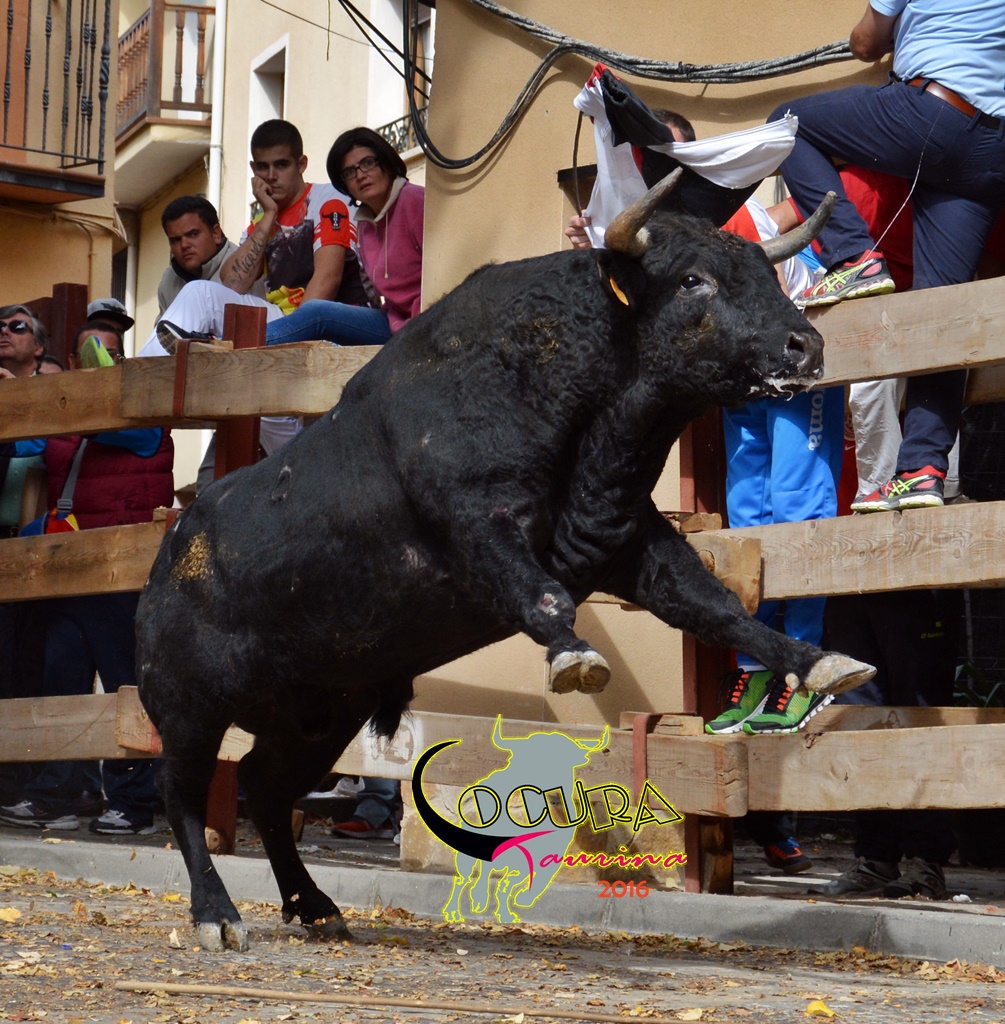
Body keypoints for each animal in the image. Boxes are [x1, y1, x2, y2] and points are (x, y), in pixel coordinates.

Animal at [135, 171, 875, 952]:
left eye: (764, 271)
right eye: (692, 280)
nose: (804, 345)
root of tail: (165, 558)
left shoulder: (623, 540)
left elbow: (714, 607)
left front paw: (819, 662)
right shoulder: (477, 525)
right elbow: (542, 596)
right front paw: (574, 656)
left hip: (321, 712)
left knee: (265, 787)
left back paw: (314, 905)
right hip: (188, 709)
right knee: (183, 795)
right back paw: (217, 913)